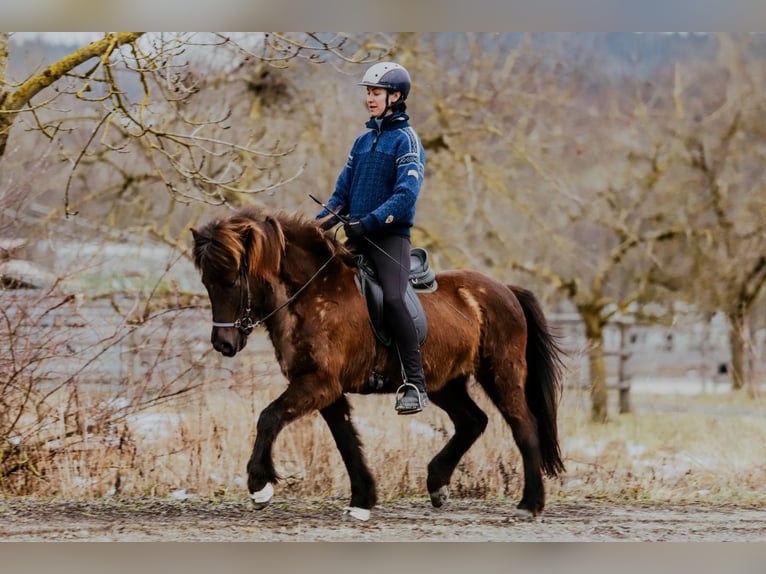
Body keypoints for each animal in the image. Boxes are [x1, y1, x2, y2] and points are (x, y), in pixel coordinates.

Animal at [191, 206, 565, 521]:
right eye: (206, 282)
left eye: (231, 281)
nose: (223, 344)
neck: (313, 294)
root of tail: (506, 290)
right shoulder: (325, 389)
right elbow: (346, 441)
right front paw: (362, 500)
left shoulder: (317, 383)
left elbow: (269, 417)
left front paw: (260, 486)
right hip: (443, 382)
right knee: (473, 421)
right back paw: (438, 484)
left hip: (501, 373)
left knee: (523, 426)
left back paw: (530, 504)